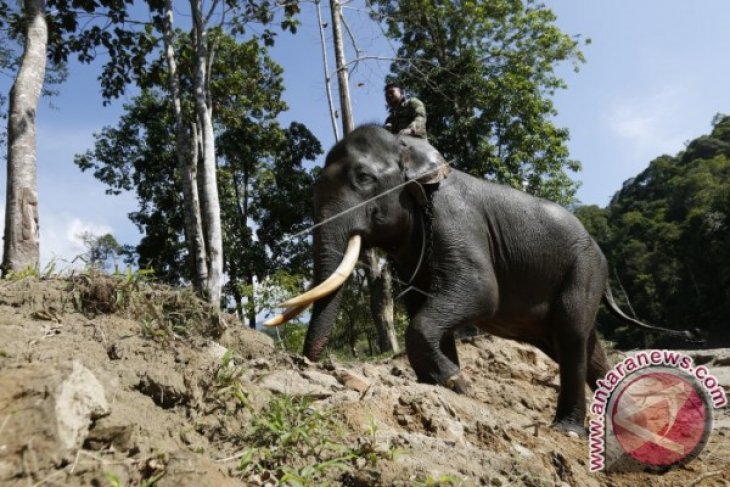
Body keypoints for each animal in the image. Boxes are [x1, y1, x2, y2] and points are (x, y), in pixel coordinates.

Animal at [266, 125, 688, 434]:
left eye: (364, 178)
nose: (310, 363)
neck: (412, 151)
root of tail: (601, 256)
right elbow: (420, 302)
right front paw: (441, 382)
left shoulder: (455, 219)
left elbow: (481, 292)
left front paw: (457, 383)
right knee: (586, 347)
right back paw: (631, 422)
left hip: (584, 272)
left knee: (570, 334)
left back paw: (567, 430)